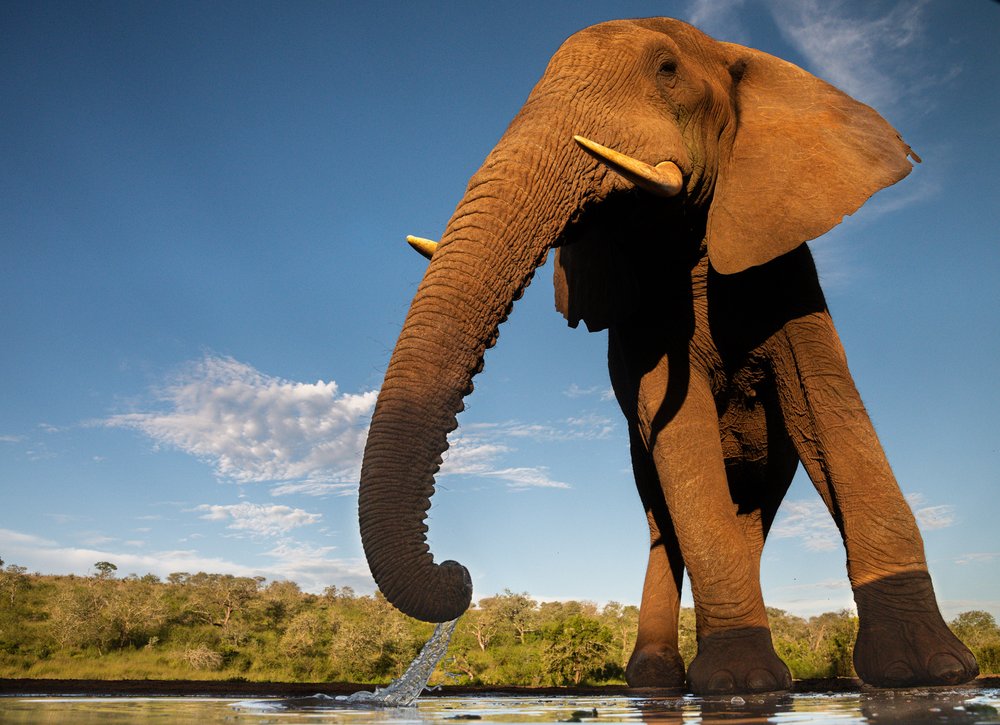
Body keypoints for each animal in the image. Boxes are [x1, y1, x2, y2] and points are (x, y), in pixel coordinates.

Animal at [358, 17, 978, 694]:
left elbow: (829, 410)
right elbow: (681, 435)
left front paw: (930, 671)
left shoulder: (788, 264)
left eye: (667, 70)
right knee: (665, 521)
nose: (458, 574)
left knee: (752, 512)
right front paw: (741, 682)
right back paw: (657, 681)